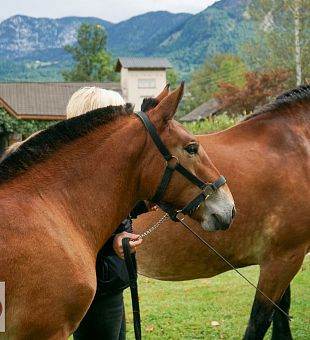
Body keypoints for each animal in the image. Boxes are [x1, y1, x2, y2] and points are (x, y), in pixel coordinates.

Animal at [135, 84, 310, 340]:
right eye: (191, 148)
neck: (298, 148)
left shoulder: (282, 258)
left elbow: (280, 315)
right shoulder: (283, 259)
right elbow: (259, 322)